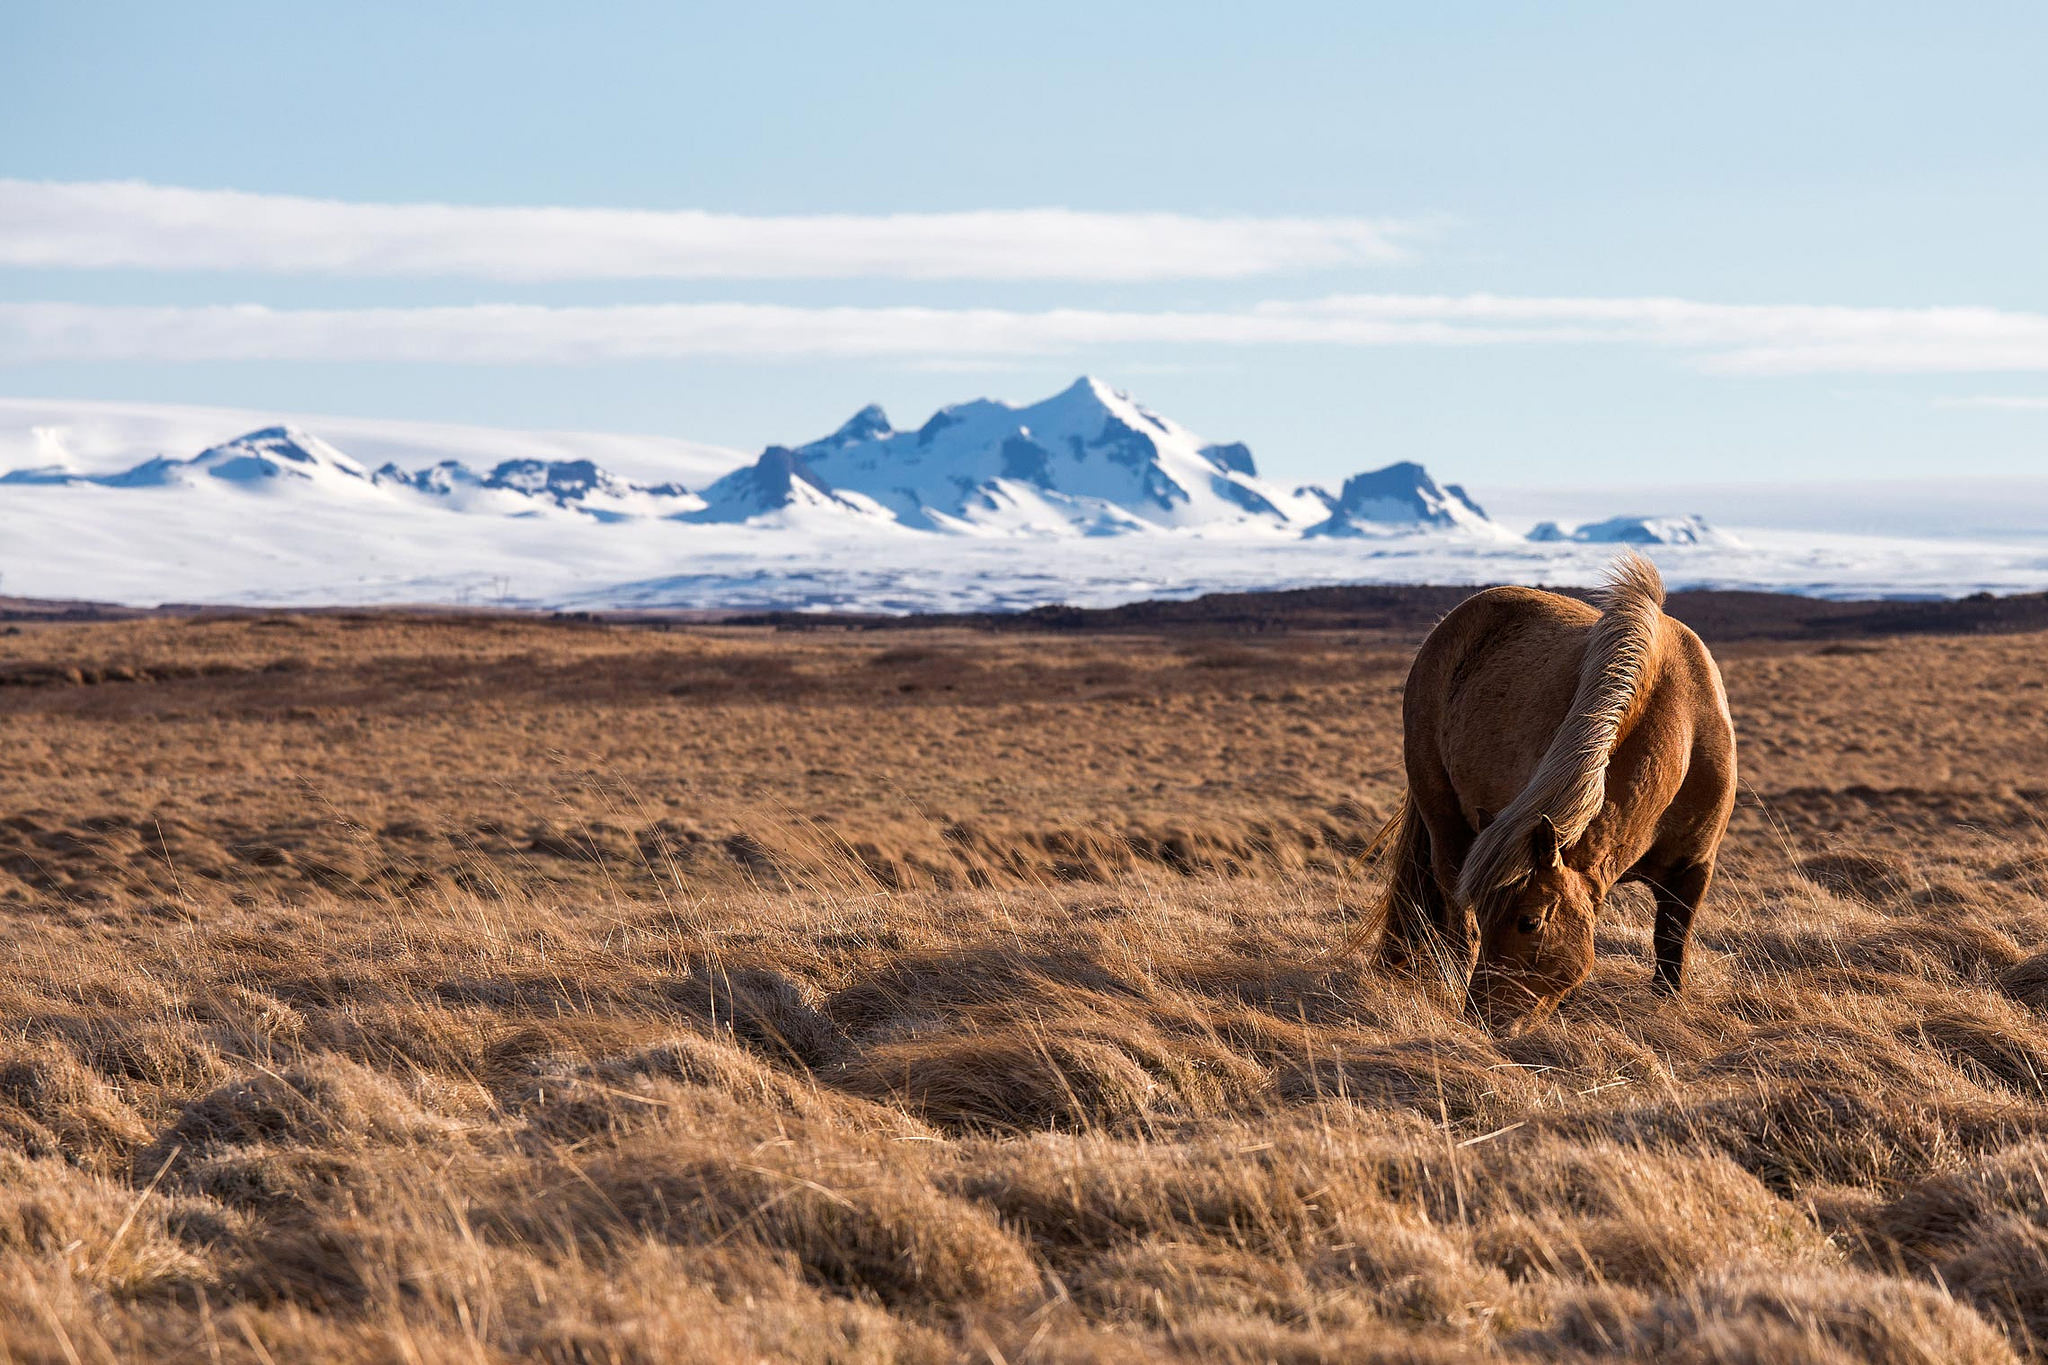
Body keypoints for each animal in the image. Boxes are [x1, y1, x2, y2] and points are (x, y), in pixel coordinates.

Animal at [1373, 552, 1736, 1034]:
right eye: (1489, 915)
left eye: (1529, 922)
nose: (1484, 1020)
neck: (1684, 732)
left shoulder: (1693, 872)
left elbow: (1670, 952)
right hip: (1445, 827)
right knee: (1454, 918)